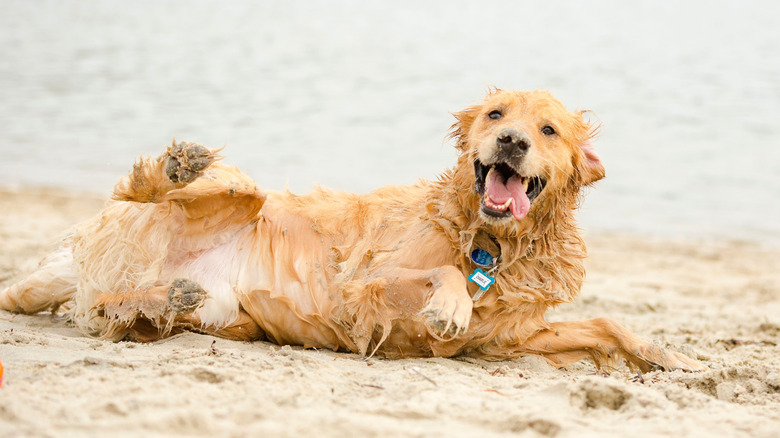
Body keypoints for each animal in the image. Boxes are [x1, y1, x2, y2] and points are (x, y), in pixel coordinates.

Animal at [0, 90, 708, 372]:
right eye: (495, 114)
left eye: (549, 130)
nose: (510, 141)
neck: (492, 243)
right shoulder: (363, 287)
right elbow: (442, 272)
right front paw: (450, 304)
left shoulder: (511, 337)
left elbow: (605, 324)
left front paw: (664, 356)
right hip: (230, 198)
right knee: (147, 192)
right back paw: (177, 167)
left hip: (225, 316)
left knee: (114, 312)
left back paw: (162, 298)